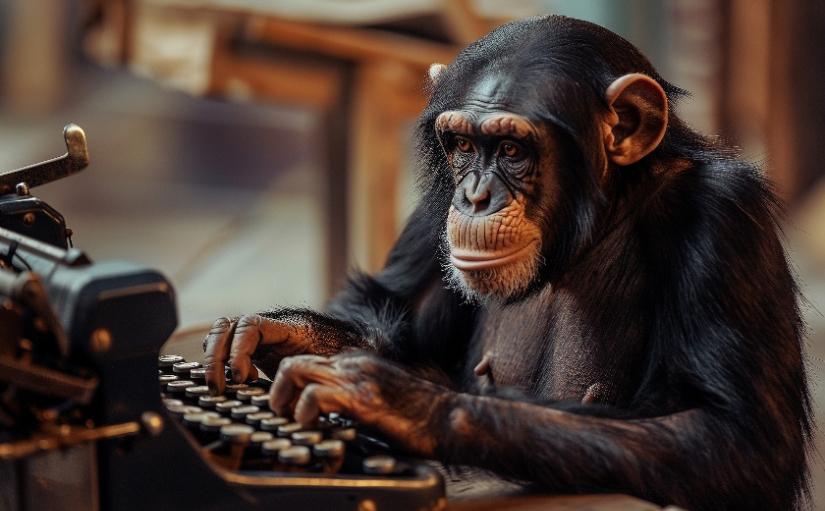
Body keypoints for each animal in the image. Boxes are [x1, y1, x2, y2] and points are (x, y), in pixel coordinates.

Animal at [201, 16, 812, 511]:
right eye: (462, 146)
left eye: (513, 150)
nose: (473, 196)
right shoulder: (434, 207)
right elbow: (387, 310)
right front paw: (283, 334)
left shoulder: (724, 215)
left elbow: (727, 437)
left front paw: (394, 400)